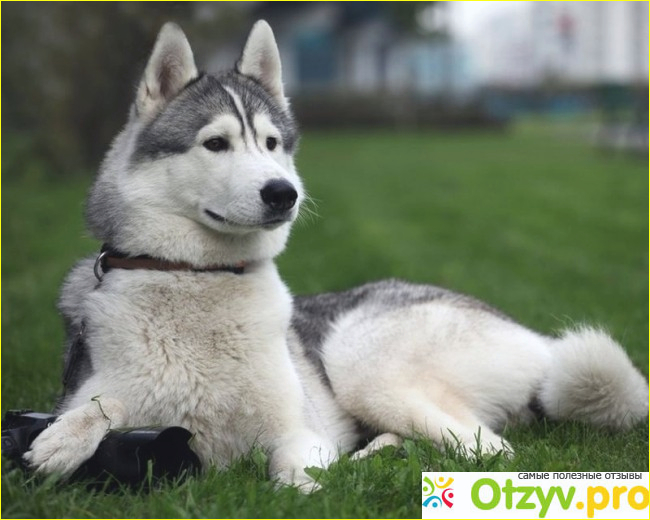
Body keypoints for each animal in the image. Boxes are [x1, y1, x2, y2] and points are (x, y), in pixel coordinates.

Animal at [25, 20, 648, 489]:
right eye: (215, 143)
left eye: (272, 143)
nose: (283, 192)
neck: (199, 277)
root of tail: (534, 338)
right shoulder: (101, 387)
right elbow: (99, 404)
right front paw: (66, 436)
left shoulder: (299, 433)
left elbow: (292, 479)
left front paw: (308, 489)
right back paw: (378, 454)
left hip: (361, 361)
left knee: (490, 451)